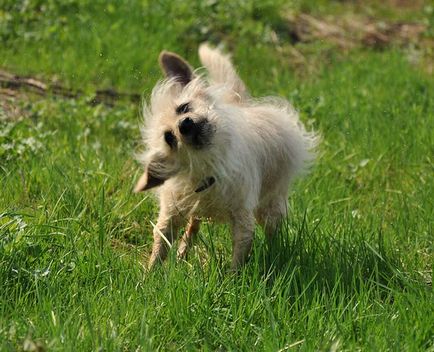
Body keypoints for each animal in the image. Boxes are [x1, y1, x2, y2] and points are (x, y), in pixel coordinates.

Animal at [134, 44, 318, 270]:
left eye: (183, 107)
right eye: (169, 138)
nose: (184, 124)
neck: (212, 167)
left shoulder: (243, 220)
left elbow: (239, 255)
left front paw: (234, 277)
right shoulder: (171, 213)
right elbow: (160, 244)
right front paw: (150, 274)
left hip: (270, 205)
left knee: (272, 231)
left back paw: (274, 254)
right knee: (193, 226)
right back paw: (183, 253)